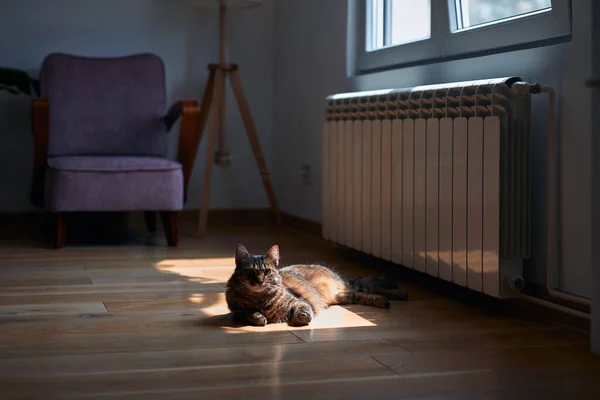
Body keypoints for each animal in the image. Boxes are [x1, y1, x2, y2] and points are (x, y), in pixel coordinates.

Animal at [225, 242, 408, 326]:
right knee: (363, 294)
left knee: (371, 288)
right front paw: (258, 317)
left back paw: (398, 295)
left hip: (347, 289)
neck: (259, 299)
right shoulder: (237, 312)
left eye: (267, 272)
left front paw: (299, 318)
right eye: (250, 272)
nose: (260, 281)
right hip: (344, 297)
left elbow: (304, 310)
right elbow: (249, 314)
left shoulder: (299, 301)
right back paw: (386, 300)